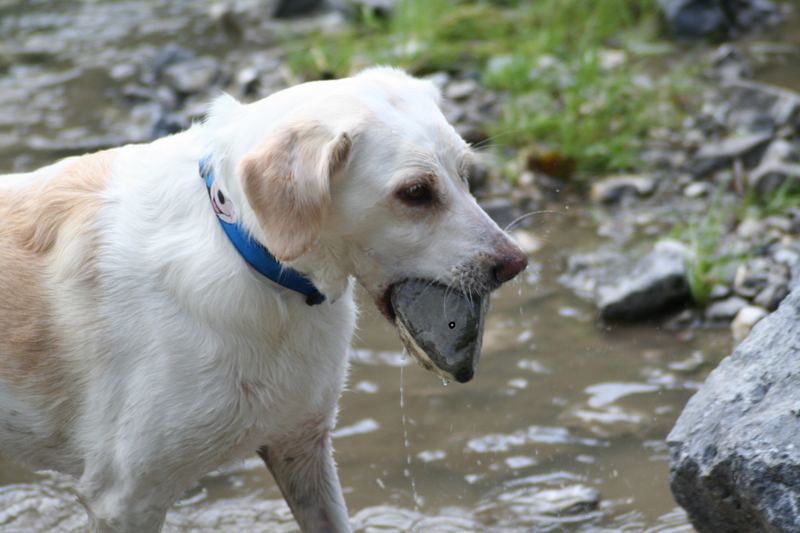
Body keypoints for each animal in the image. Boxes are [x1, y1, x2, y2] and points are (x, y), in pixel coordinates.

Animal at [0, 67, 528, 532]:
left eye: (465, 174)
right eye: (415, 192)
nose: (516, 262)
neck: (254, 260)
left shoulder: (301, 448)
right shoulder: (124, 500)